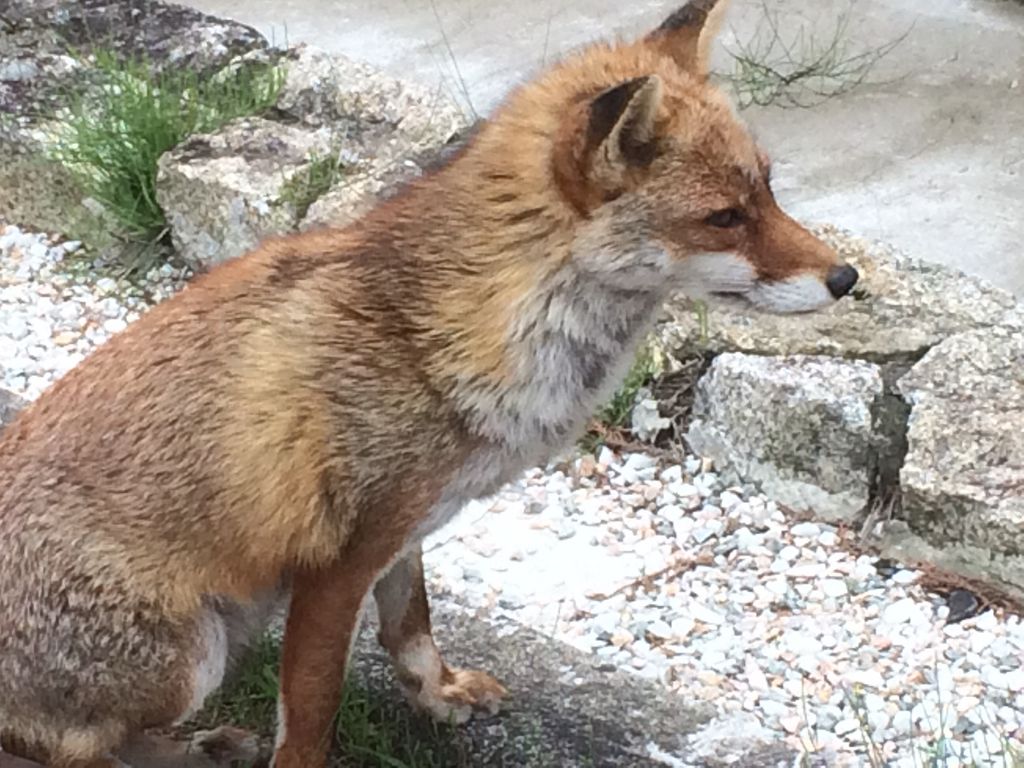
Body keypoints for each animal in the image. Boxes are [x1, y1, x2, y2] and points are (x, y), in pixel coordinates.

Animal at [0, 1, 856, 768]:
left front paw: (440, 699)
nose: (847, 278)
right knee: (73, 751)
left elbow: (411, 631)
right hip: (194, 653)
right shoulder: (336, 565)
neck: (439, 328)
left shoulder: (406, 527)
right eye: (725, 217)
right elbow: (311, 717)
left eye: (770, 190)